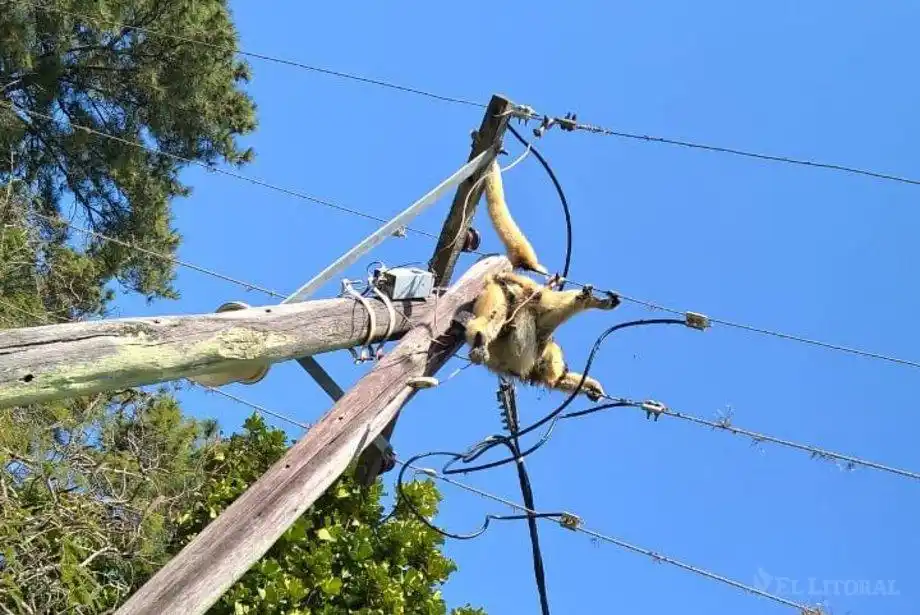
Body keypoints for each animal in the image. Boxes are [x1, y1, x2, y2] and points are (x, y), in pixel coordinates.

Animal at [463, 158, 620, 401]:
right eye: (559, 362)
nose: (562, 368)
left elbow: (553, 381)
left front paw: (589, 386)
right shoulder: (541, 336)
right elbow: (555, 312)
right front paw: (591, 300)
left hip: (498, 291)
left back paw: (480, 337)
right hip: (522, 297)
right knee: (540, 305)